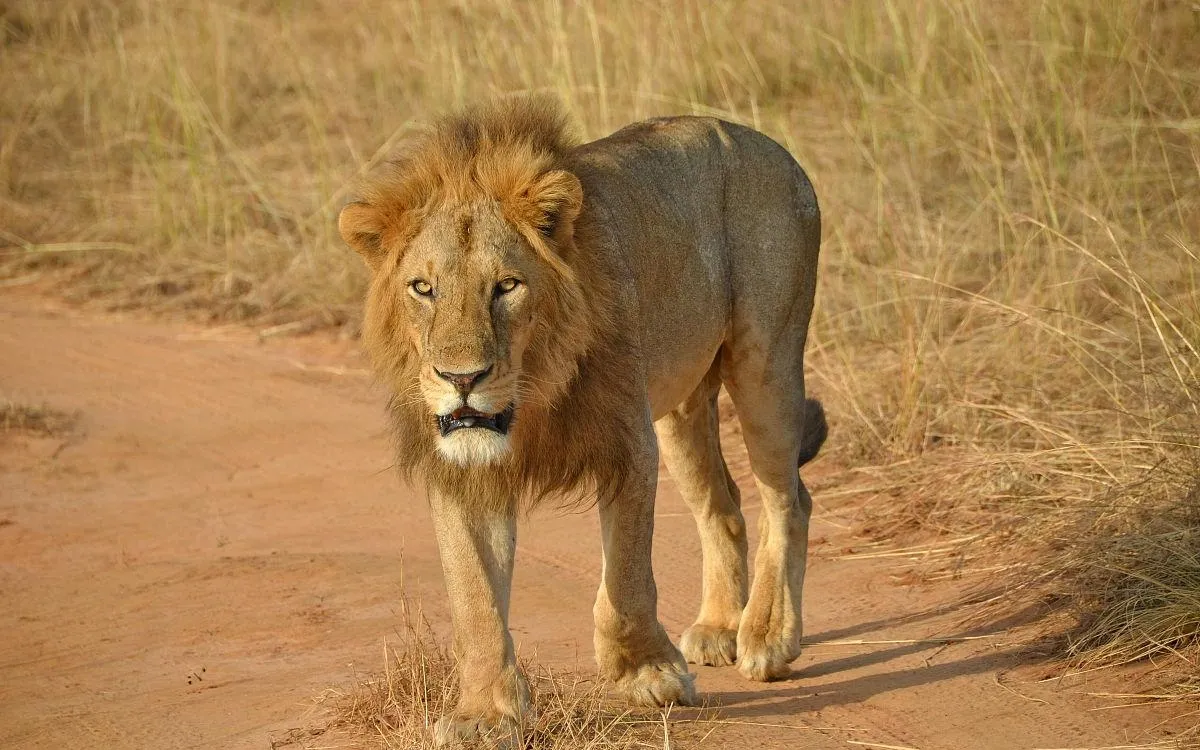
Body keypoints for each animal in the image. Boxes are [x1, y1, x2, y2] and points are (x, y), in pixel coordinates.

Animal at [338, 97, 826, 746]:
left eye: (507, 286)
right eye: (423, 288)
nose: (463, 379)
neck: (532, 394)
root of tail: (769, 144)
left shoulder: (628, 444)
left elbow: (625, 578)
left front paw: (647, 674)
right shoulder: (464, 473)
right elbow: (474, 598)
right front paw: (484, 714)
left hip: (765, 361)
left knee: (788, 499)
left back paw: (767, 637)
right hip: (682, 407)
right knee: (723, 504)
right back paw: (721, 627)